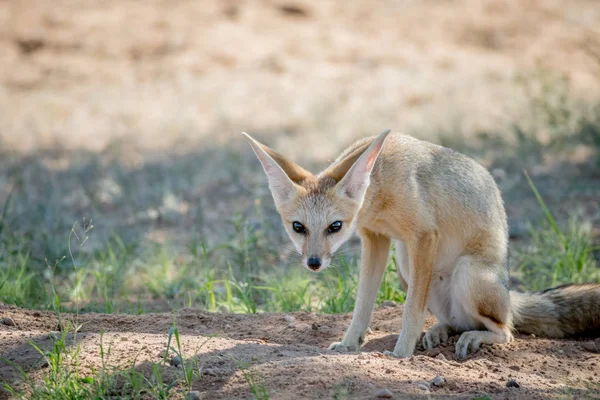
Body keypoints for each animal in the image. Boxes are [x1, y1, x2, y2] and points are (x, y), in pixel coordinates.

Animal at [241, 130, 596, 358]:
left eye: (335, 227)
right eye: (298, 227)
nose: (314, 263)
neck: (379, 185)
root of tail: (509, 293)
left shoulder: (423, 237)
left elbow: (410, 311)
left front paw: (400, 353)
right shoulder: (376, 239)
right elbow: (362, 305)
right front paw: (350, 344)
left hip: (466, 273)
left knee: (505, 330)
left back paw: (474, 337)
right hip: (405, 264)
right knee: (455, 321)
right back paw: (440, 330)